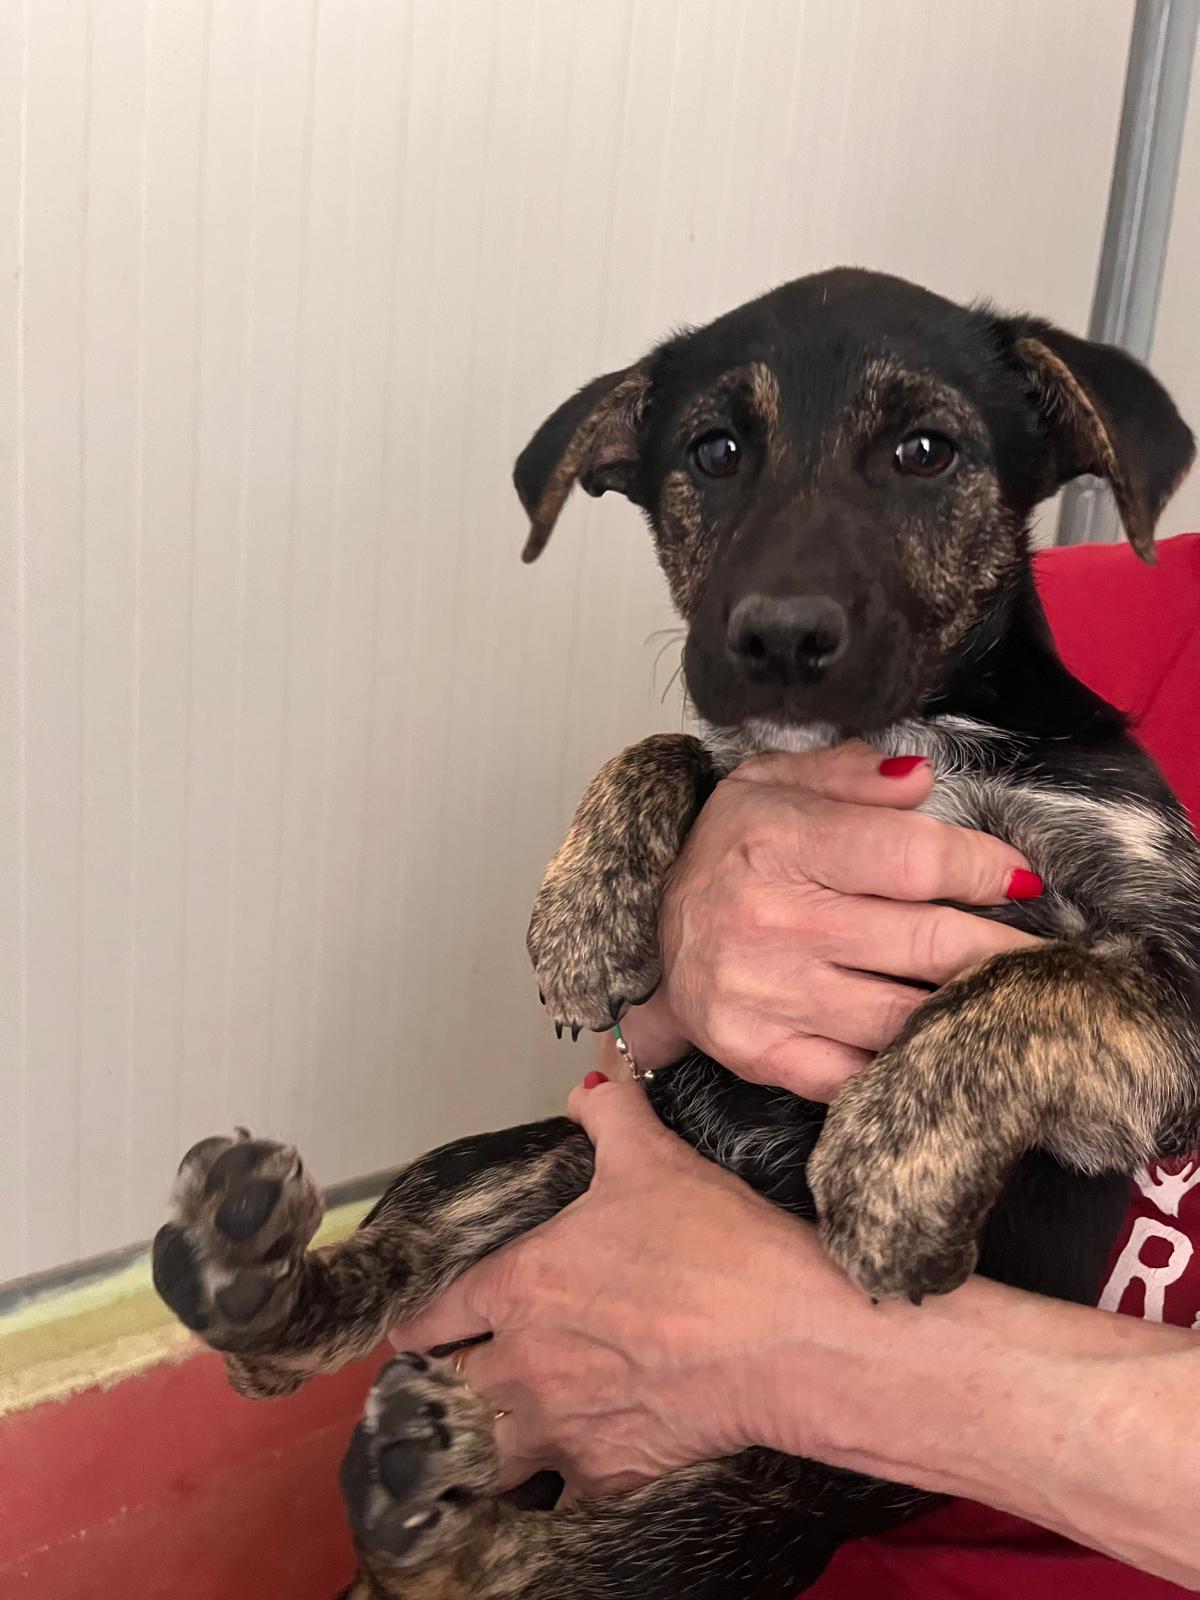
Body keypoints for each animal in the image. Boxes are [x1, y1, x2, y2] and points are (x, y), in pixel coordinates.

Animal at [153, 268, 1199, 1599]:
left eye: (927, 451)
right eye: (715, 451)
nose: (780, 639)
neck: (911, 731)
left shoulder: (1172, 971)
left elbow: (1033, 978)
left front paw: (888, 1168)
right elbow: (675, 748)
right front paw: (584, 915)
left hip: (776, 1481)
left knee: (531, 1570)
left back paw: (423, 1492)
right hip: (539, 1155)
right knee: (314, 1345)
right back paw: (254, 1279)